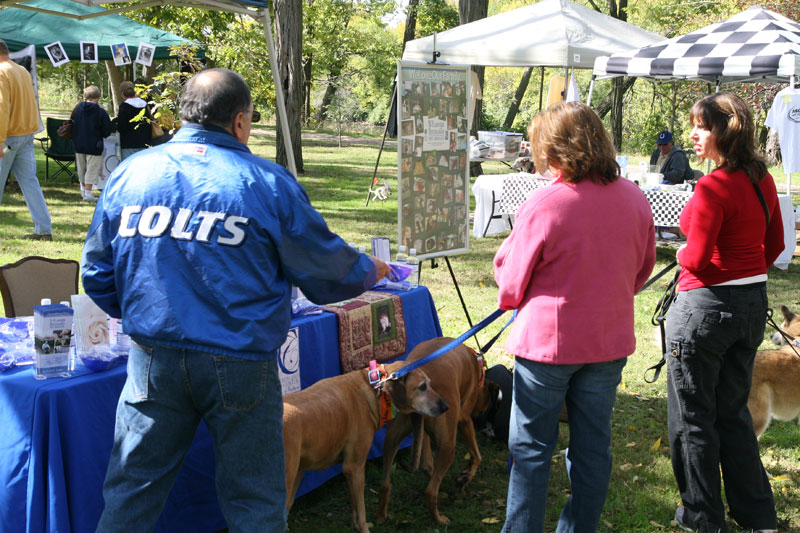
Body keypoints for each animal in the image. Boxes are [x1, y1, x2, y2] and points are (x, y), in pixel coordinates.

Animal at [282, 360, 446, 528]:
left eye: (429, 384)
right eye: (422, 387)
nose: (445, 406)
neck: (374, 387)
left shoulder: (307, 471)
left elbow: (355, 513)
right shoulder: (354, 467)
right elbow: (361, 514)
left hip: (294, 475)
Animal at [376, 336, 494, 524]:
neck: (475, 360)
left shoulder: (422, 433)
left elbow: (427, 464)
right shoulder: (465, 421)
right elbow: (477, 455)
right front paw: (466, 477)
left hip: (391, 440)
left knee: (386, 484)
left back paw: (380, 517)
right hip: (448, 446)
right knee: (431, 491)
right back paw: (439, 519)